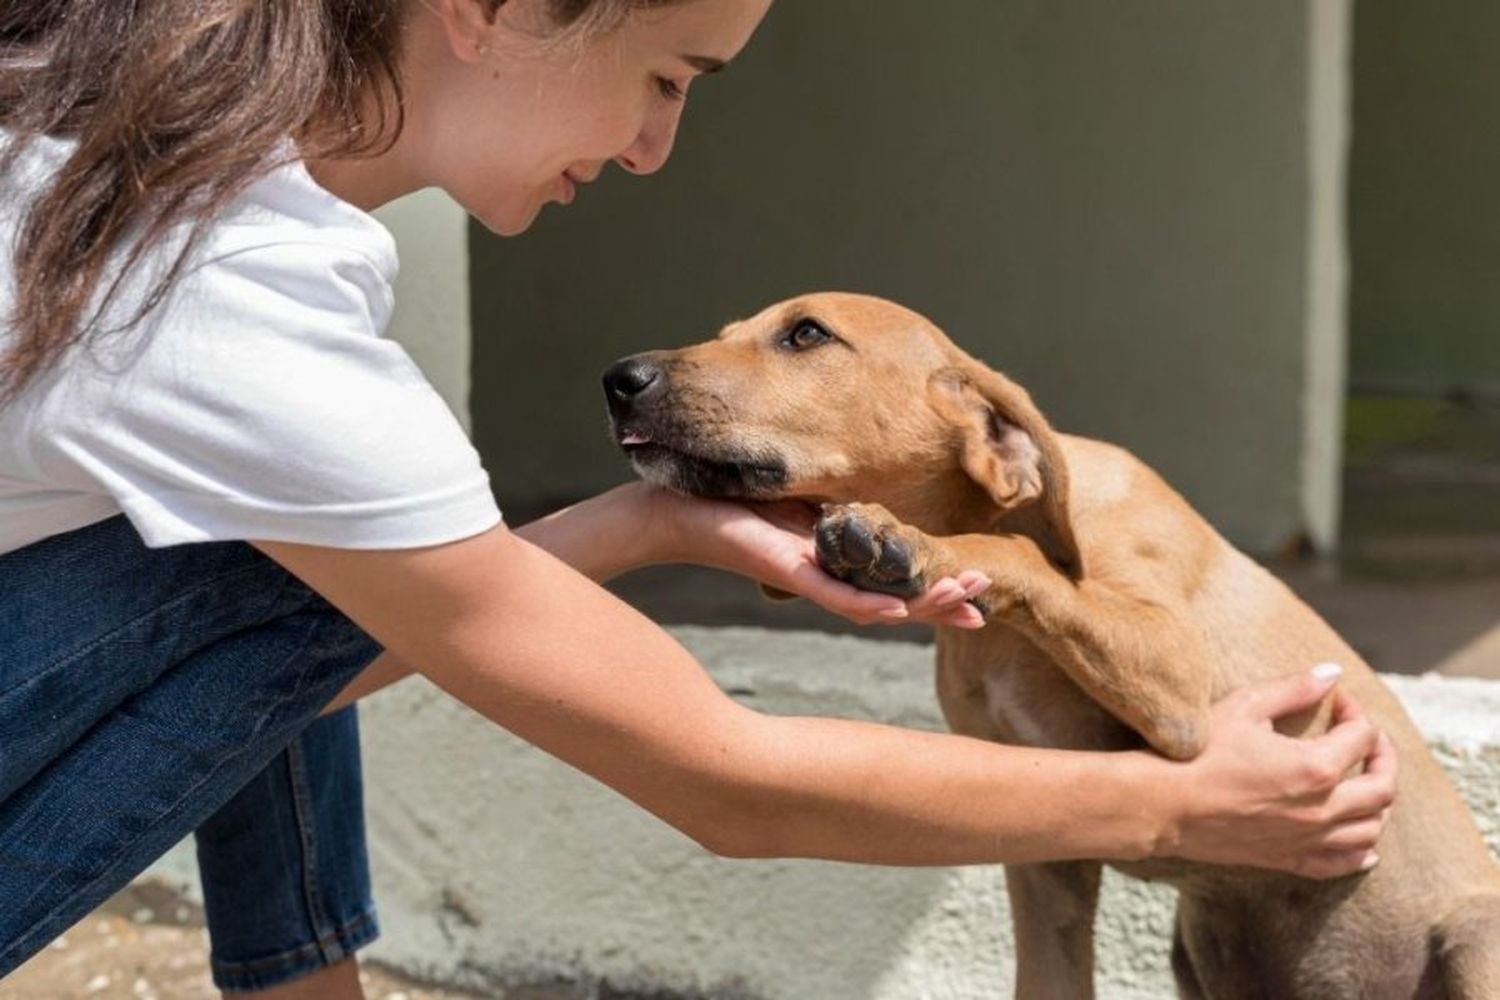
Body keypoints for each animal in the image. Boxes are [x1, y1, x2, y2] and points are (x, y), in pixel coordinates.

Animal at [606, 293, 1500, 995]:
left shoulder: (1180, 690)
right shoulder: (1046, 854)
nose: (619, 379)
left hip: (1472, 940)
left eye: (806, 334)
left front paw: (906, 545)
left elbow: (1020, 557)